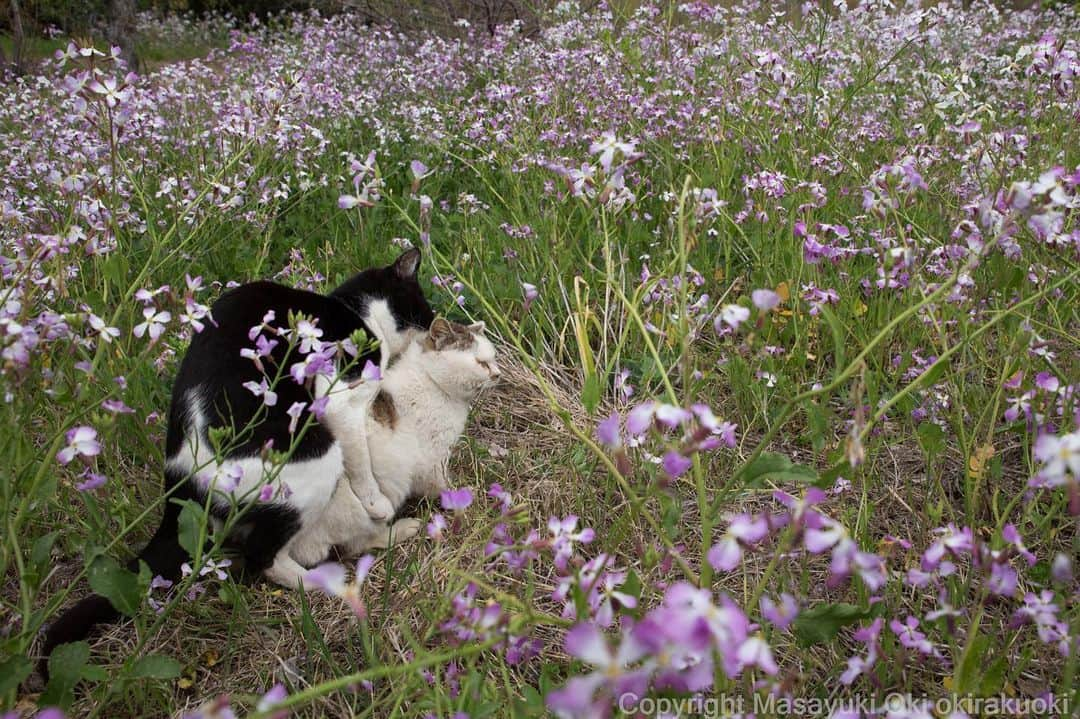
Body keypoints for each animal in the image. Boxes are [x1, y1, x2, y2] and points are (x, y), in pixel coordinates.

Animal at [39, 246, 434, 660]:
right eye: (423, 305)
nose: (435, 323)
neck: (354, 311)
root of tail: (179, 482)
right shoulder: (342, 399)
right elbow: (362, 464)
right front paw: (377, 503)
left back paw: (400, 532)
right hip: (317, 457)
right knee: (264, 558)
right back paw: (328, 580)